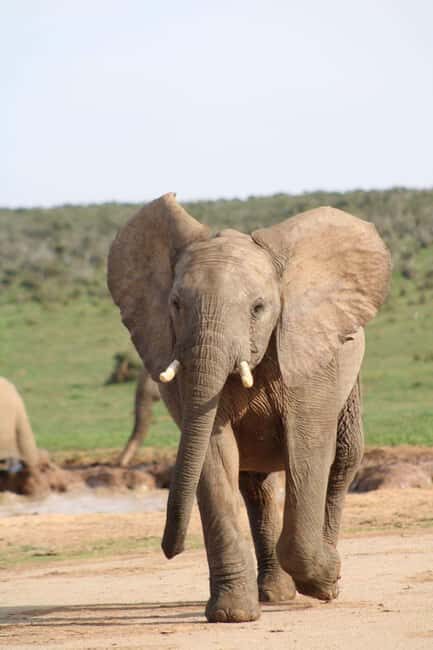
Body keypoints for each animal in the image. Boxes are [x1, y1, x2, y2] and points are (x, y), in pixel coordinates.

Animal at [107, 193, 391, 623]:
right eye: (175, 304)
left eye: (258, 308)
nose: (170, 549)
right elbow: (212, 453)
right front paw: (231, 615)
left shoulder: (310, 357)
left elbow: (308, 450)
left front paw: (325, 582)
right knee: (256, 486)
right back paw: (275, 594)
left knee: (343, 458)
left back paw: (324, 581)